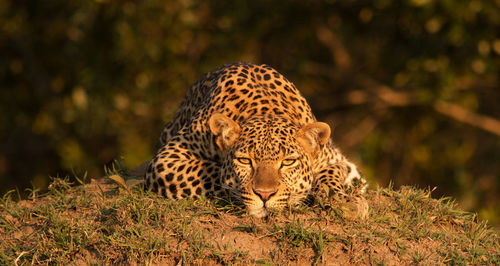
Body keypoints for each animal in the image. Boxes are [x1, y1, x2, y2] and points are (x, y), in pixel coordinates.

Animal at [145, 62, 368, 218]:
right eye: (245, 161)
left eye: (288, 162)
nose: (265, 195)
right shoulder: (167, 159)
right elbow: (213, 171)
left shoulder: (337, 161)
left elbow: (329, 174)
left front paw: (345, 201)